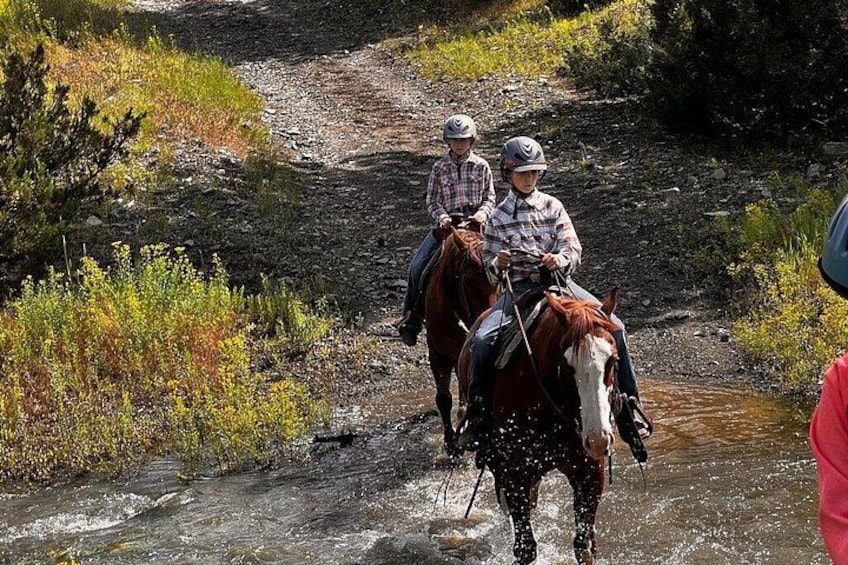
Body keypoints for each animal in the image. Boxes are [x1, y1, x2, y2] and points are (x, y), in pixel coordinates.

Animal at [457, 288, 622, 565]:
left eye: (613, 360)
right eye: (566, 365)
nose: (598, 440)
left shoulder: (590, 472)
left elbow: (584, 547)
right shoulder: (513, 474)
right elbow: (525, 548)